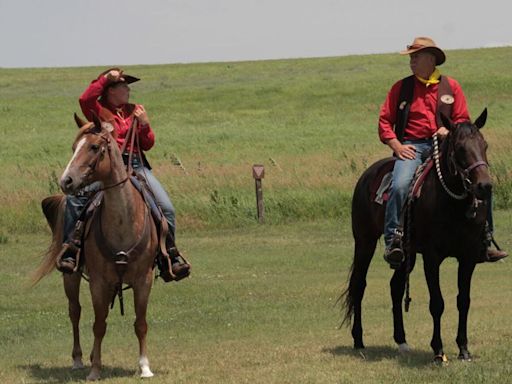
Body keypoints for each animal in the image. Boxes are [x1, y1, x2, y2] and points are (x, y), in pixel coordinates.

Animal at [34, 113, 158, 378]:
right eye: (74, 148)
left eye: (93, 147)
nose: (66, 181)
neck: (123, 223)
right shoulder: (99, 282)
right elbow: (99, 324)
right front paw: (95, 370)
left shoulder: (144, 279)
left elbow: (140, 323)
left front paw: (144, 366)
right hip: (71, 276)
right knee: (75, 311)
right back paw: (79, 359)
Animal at [344, 109, 492, 362]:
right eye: (460, 148)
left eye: (484, 145)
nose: (484, 186)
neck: (452, 203)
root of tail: (366, 175)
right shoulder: (432, 257)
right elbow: (437, 303)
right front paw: (438, 351)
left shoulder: (468, 257)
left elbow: (463, 301)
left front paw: (463, 349)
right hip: (364, 242)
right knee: (359, 285)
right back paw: (358, 339)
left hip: (407, 254)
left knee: (395, 287)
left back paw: (401, 341)